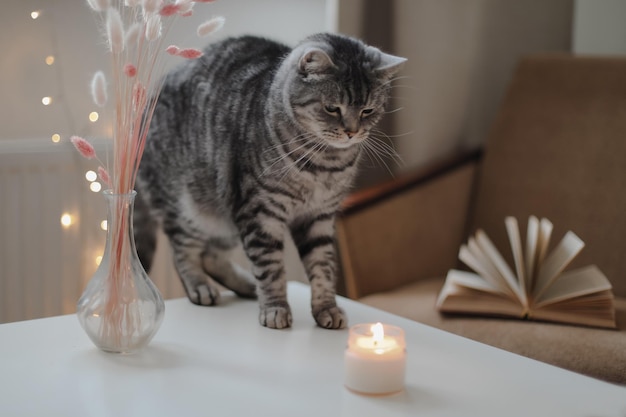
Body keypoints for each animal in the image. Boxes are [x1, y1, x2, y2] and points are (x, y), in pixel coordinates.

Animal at [133, 33, 404, 328]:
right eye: (332, 108)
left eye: (368, 110)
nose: (352, 132)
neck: (324, 164)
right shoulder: (260, 212)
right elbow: (271, 267)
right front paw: (275, 308)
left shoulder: (319, 216)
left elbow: (323, 266)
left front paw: (326, 308)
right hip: (188, 209)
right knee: (183, 252)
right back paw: (200, 287)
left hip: (225, 216)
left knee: (212, 255)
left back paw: (246, 286)